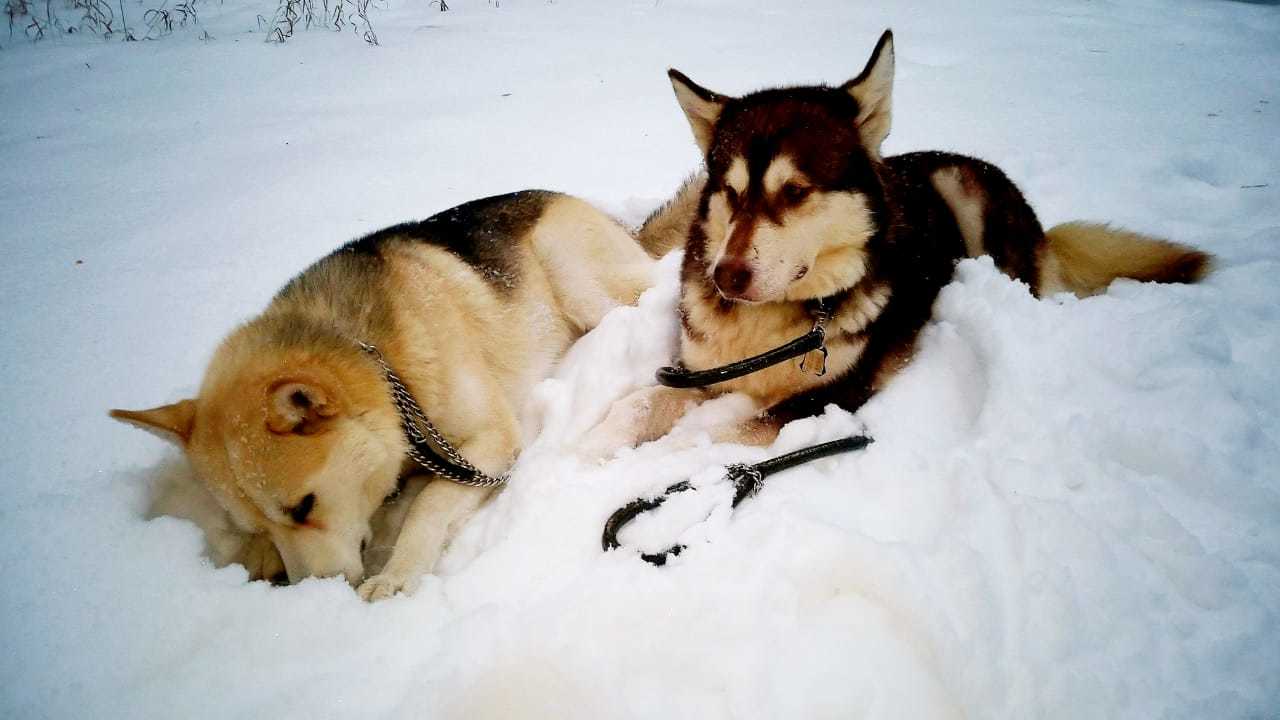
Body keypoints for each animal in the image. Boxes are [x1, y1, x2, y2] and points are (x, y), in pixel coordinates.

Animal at [588, 29, 1208, 453]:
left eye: (795, 191)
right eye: (731, 192)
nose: (727, 276)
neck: (773, 326)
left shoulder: (829, 398)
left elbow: (713, 435)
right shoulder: (704, 372)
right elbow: (641, 403)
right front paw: (587, 455)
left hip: (964, 193)